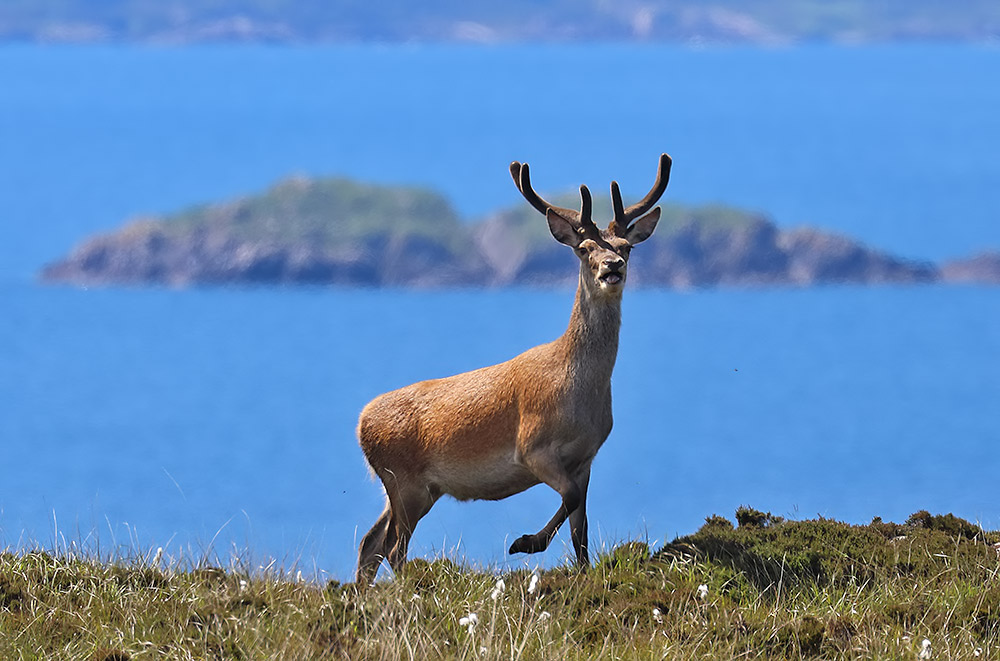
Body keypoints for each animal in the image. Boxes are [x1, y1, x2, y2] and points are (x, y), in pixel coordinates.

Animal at [355, 153, 672, 584]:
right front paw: (525, 542)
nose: (613, 266)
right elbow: (570, 498)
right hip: (403, 479)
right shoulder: (533, 446)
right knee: (391, 547)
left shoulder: (586, 458)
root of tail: (360, 424)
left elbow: (581, 527)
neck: (579, 393)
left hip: (414, 487)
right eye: (584, 248)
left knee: (370, 543)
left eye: (626, 246)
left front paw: (581, 571)